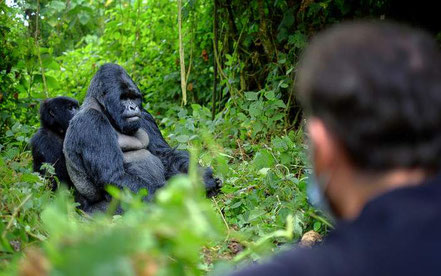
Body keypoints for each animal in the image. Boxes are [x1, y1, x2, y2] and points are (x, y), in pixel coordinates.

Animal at [62, 63, 220, 212]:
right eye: (124, 98)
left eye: (133, 97)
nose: (133, 107)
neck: (105, 110)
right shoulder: (91, 121)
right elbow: (114, 177)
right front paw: (196, 185)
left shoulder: (144, 114)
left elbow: (164, 154)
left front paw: (200, 175)